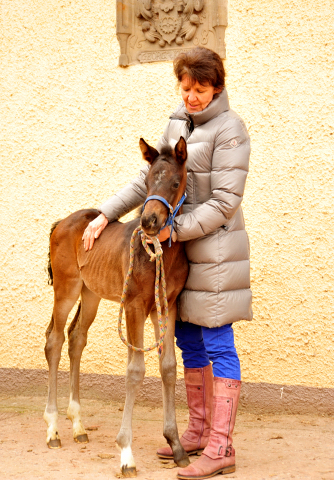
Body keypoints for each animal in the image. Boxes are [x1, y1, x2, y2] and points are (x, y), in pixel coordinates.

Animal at [44, 137, 190, 474]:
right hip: (66, 290)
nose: (149, 222)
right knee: (54, 341)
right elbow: (135, 370)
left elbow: (168, 367)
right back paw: (53, 429)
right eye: (146, 182)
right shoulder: (135, 306)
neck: (159, 254)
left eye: (175, 182)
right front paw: (126, 453)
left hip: (91, 294)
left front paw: (176, 445)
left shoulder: (166, 306)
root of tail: (61, 223)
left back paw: (78, 425)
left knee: (76, 338)